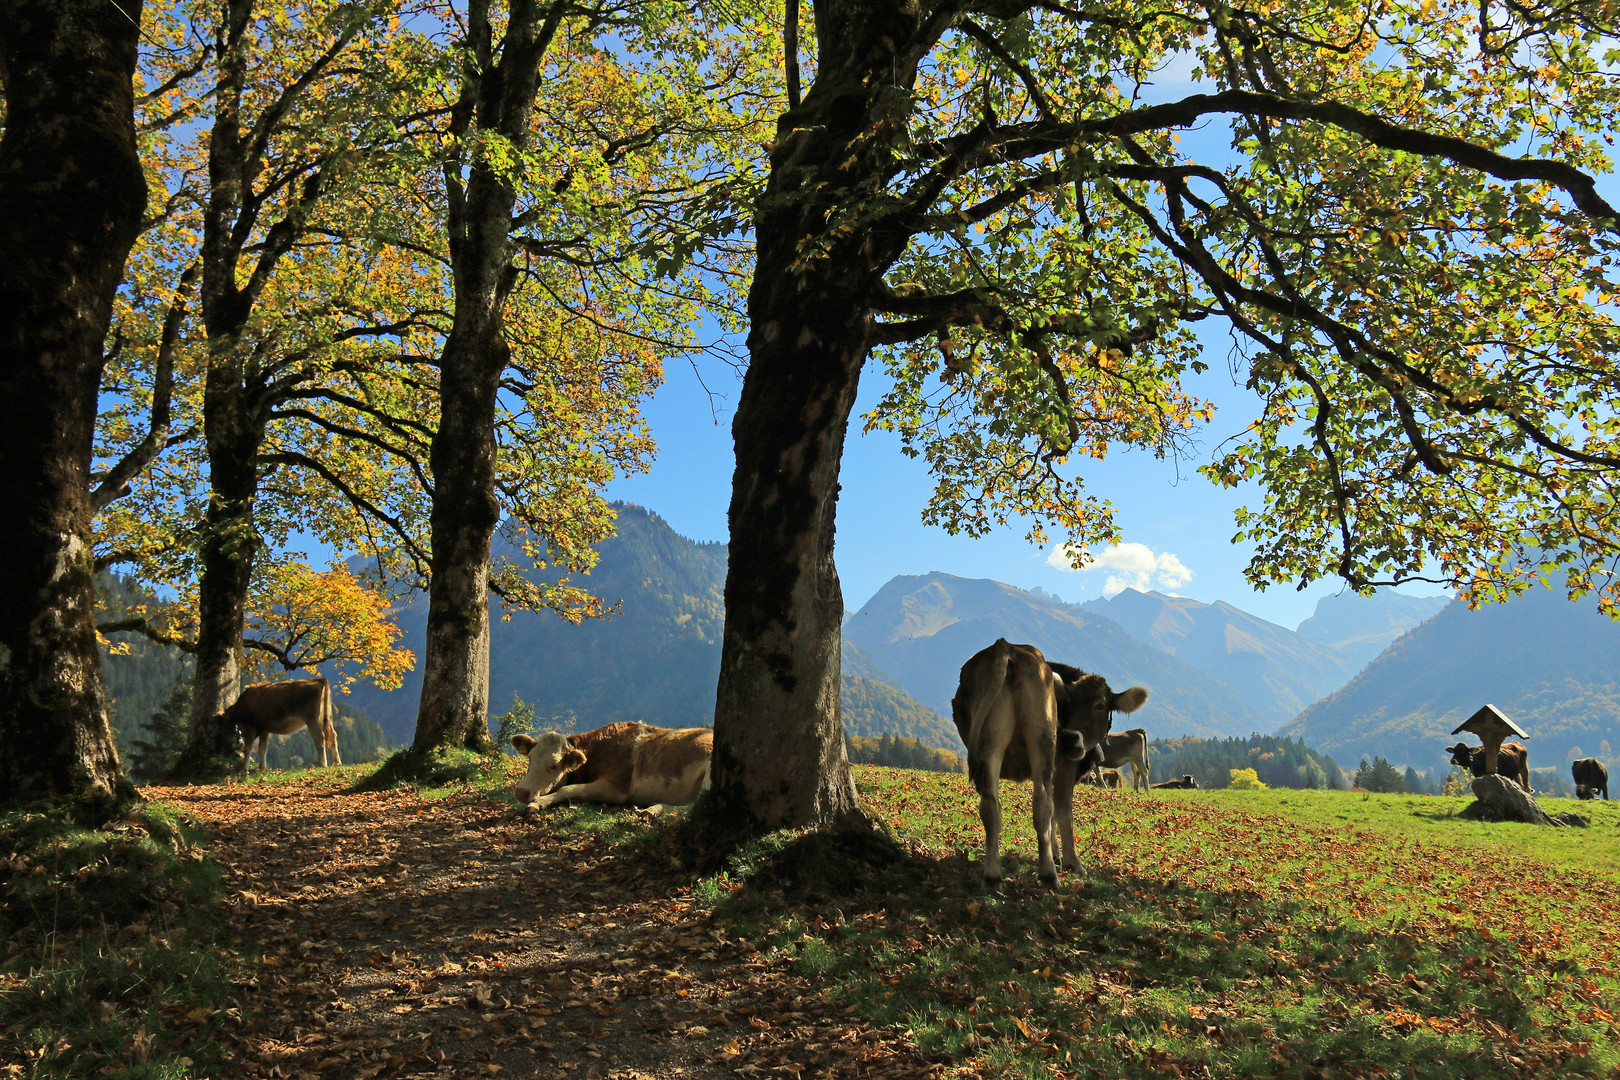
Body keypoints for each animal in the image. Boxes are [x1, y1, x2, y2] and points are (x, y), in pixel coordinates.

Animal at [505, 725, 709, 809]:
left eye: (554, 765)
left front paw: (538, 802)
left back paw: (654, 810)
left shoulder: (616, 787)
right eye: (530, 757)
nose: (521, 792)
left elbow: (568, 788)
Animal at [946, 641, 1153, 887]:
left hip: (990, 746)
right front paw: (1071, 862)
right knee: (1043, 803)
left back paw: (993, 877)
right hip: (1043, 743)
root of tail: (1006, 646)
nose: (1069, 738)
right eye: (1067, 703)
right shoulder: (1065, 766)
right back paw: (1048, 876)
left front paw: (1055, 855)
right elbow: (1063, 812)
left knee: (992, 807)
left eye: (1100, 705)